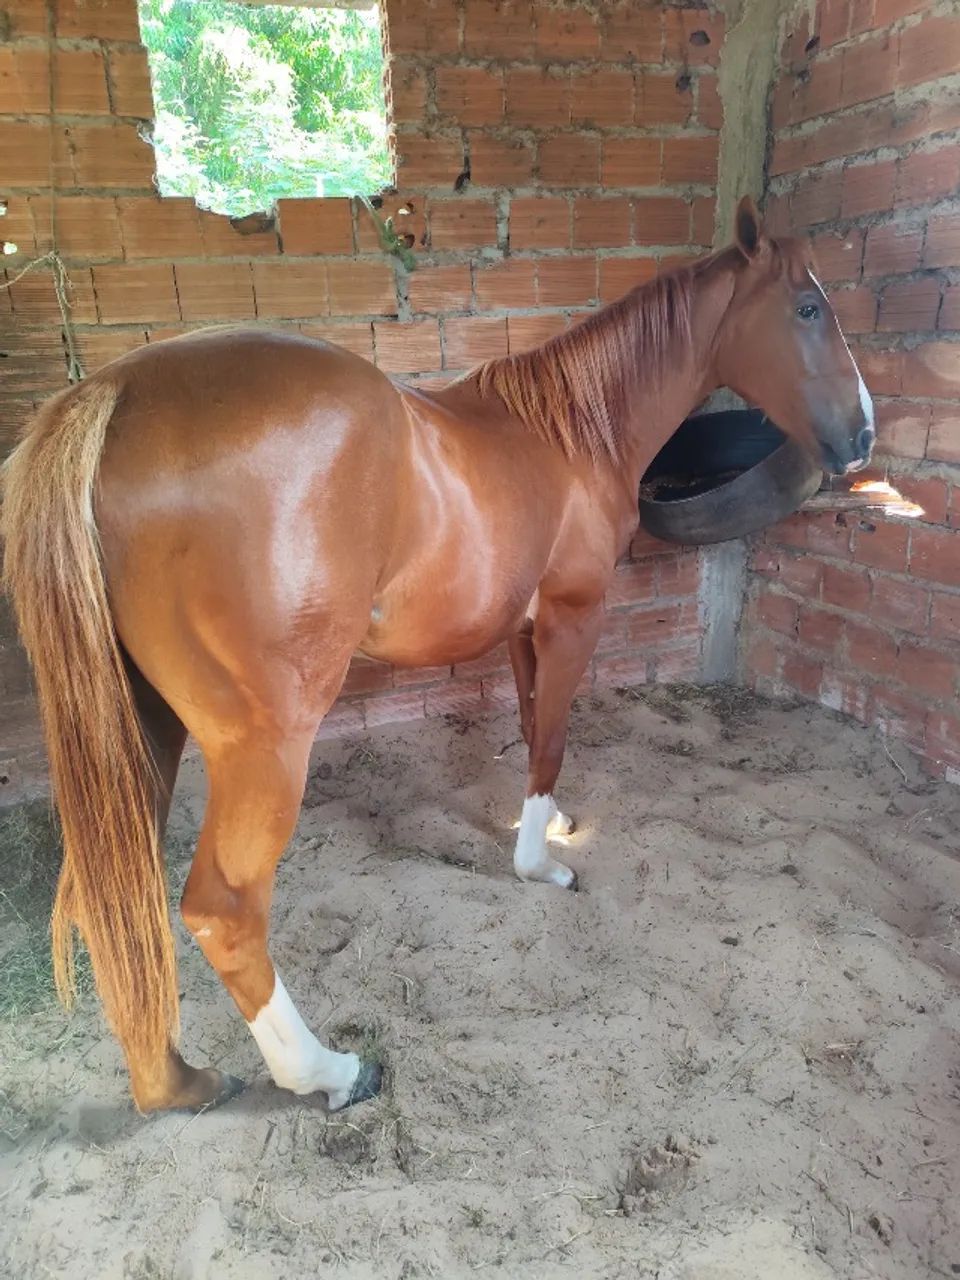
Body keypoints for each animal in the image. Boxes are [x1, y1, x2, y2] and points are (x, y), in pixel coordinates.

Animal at [1, 197, 875, 1117]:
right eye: (807, 308)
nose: (862, 435)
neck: (569, 435)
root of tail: (111, 394)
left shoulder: (526, 631)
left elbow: (533, 729)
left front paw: (548, 823)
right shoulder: (572, 618)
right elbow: (553, 734)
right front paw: (541, 867)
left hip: (140, 731)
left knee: (110, 901)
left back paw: (173, 1083)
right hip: (262, 743)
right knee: (223, 910)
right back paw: (328, 1072)